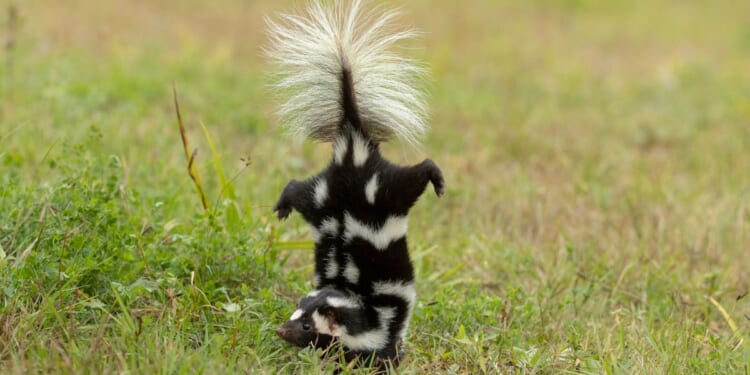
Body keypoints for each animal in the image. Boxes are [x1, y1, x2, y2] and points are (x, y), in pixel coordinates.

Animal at [268, 0, 444, 368]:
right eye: (295, 316)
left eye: (306, 325)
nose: (281, 330)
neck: (358, 302)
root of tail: (352, 145)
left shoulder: (385, 325)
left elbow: (382, 352)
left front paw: (389, 361)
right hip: (346, 192)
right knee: (296, 187)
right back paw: (282, 206)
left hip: (368, 189)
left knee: (418, 171)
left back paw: (437, 179)